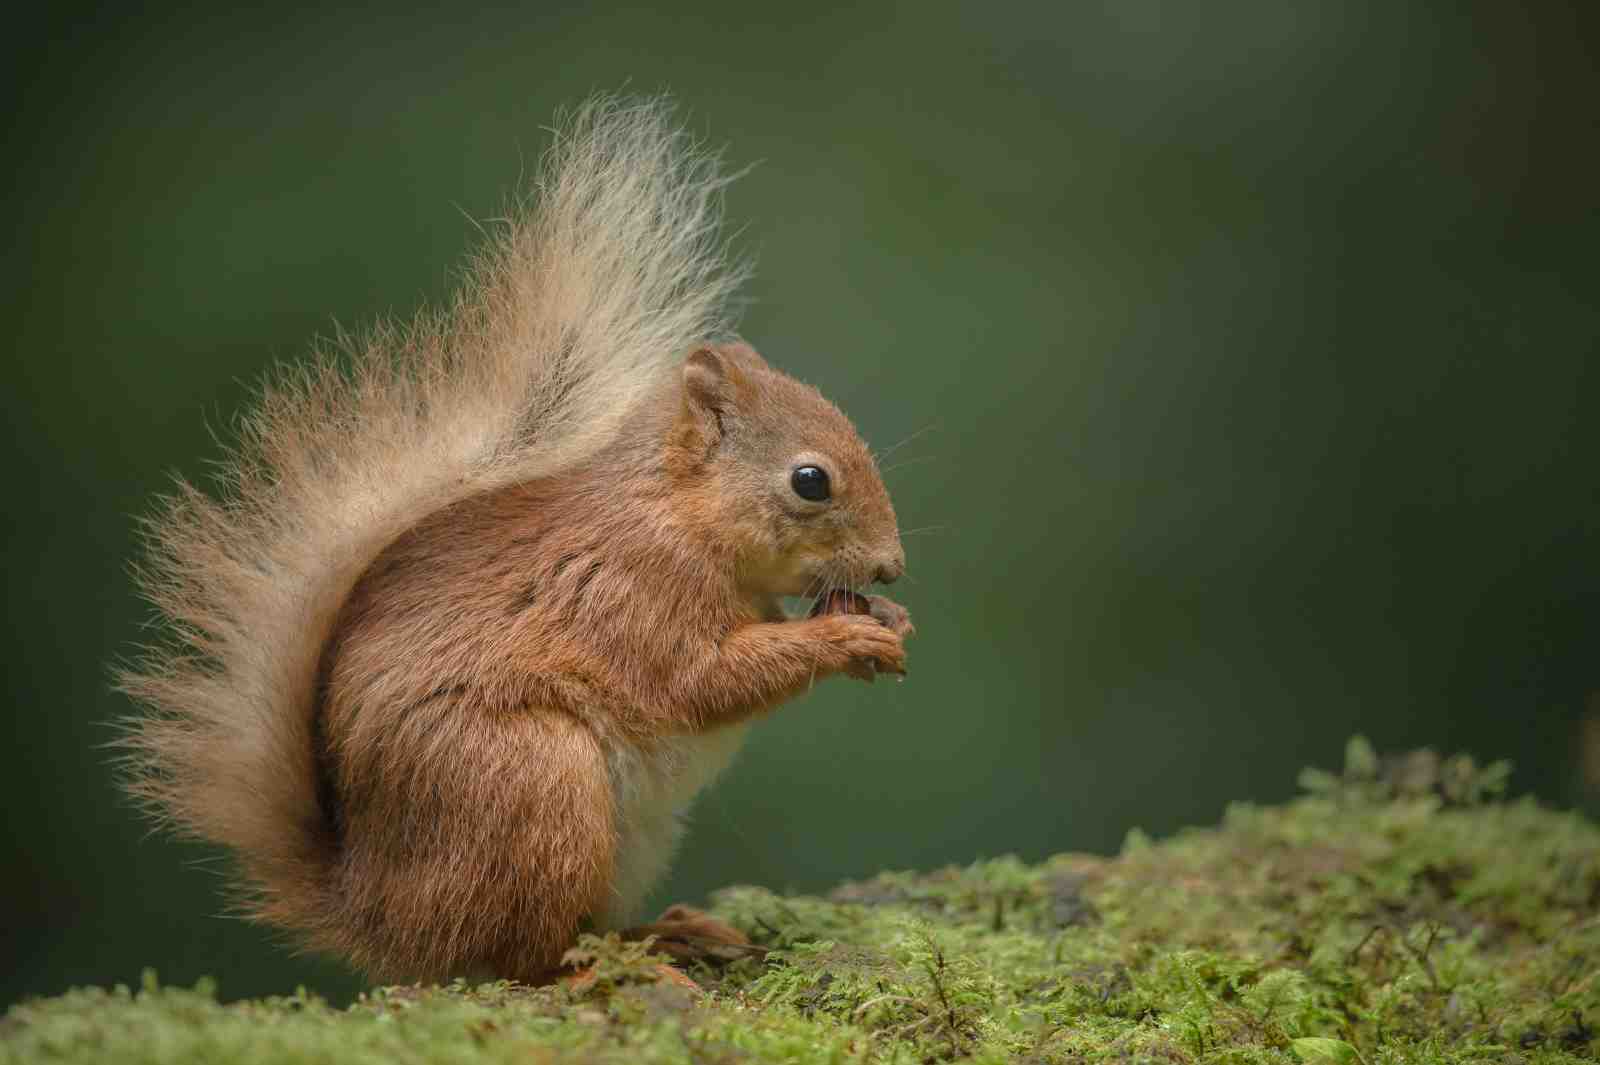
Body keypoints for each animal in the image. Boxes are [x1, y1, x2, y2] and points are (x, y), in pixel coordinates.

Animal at [116, 96, 913, 984]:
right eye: (811, 481)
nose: (893, 565)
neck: (679, 515)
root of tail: (377, 913)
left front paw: (889, 621)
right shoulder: (629, 591)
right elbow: (700, 679)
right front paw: (844, 636)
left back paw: (665, 934)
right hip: (534, 783)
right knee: (517, 957)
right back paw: (605, 966)